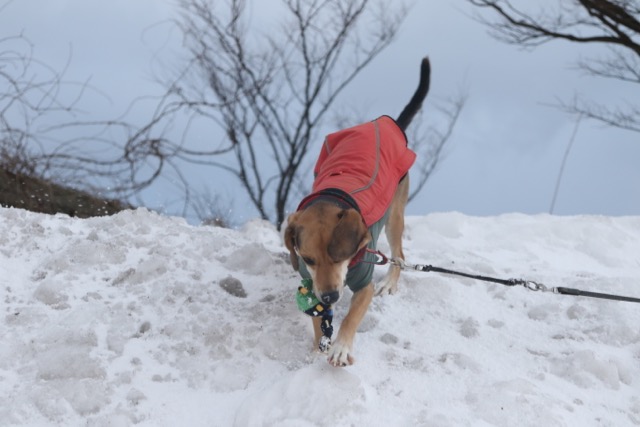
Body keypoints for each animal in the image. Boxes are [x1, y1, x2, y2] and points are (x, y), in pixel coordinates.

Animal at [284, 57, 430, 368]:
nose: (329, 297)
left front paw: (340, 346)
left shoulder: (363, 284)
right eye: (309, 259)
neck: (331, 196)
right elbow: (317, 320)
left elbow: (352, 316)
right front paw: (320, 346)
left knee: (399, 254)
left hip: (395, 214)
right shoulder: (310, 281)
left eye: (340, 255)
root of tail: (386, 123)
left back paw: (389, 282)